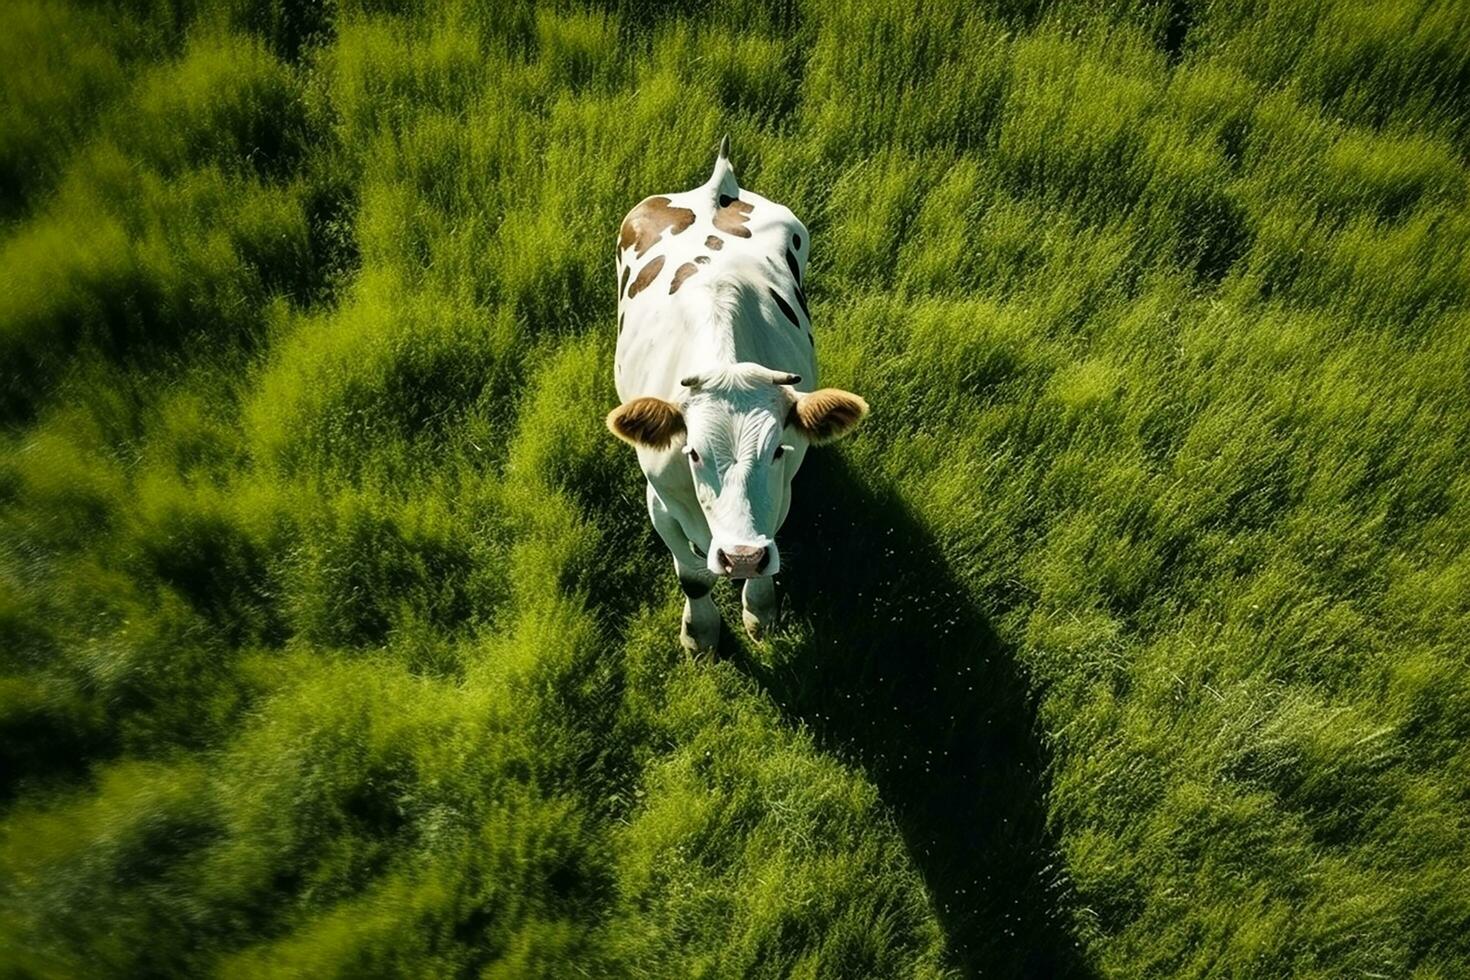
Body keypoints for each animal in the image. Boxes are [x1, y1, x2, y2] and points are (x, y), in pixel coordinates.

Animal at [605, 138, 864, 655]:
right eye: (693, 453)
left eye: (778, 450)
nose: (741, 557)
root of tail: (717, 187)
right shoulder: (658, 500)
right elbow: (693, 577)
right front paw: (700, 633)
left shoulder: (783, 488)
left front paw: (759, 611)